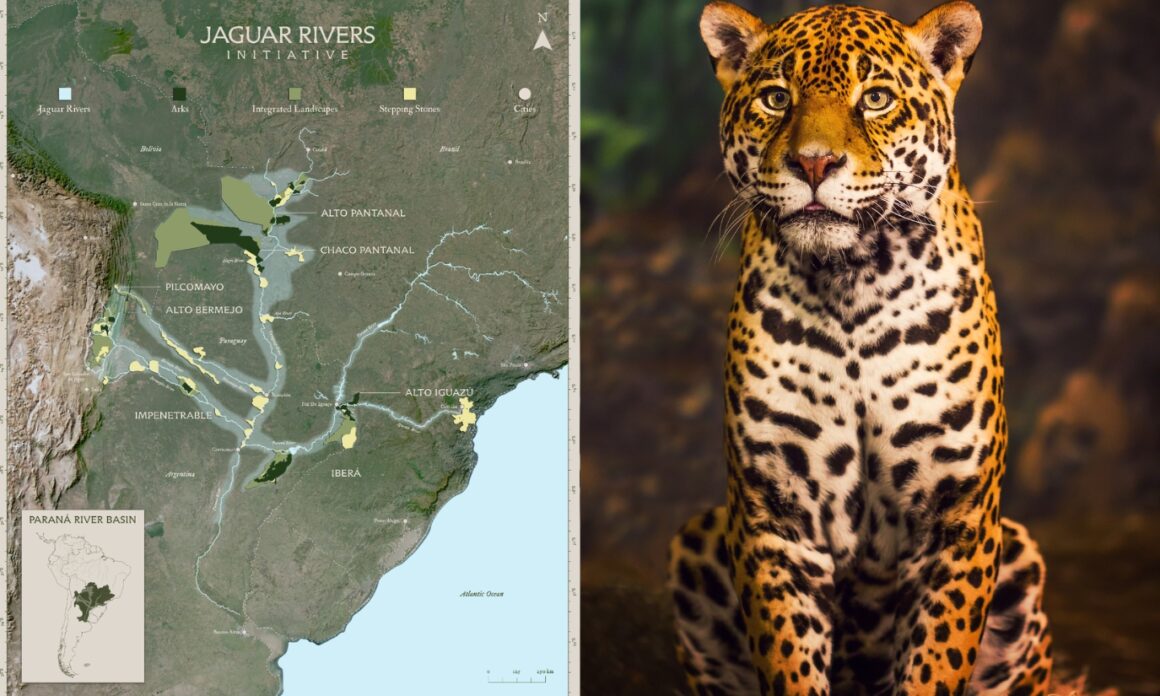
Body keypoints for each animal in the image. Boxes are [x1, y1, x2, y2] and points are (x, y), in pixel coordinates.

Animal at [666, 2, 1054, 695]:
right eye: (775, 98)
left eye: (875, 99)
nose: (815, 164)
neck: (853, 287)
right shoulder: (773, 518)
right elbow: (789, 662)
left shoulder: (958, 520)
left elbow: (935, 664)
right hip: (698, 541)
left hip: (1020, 560)